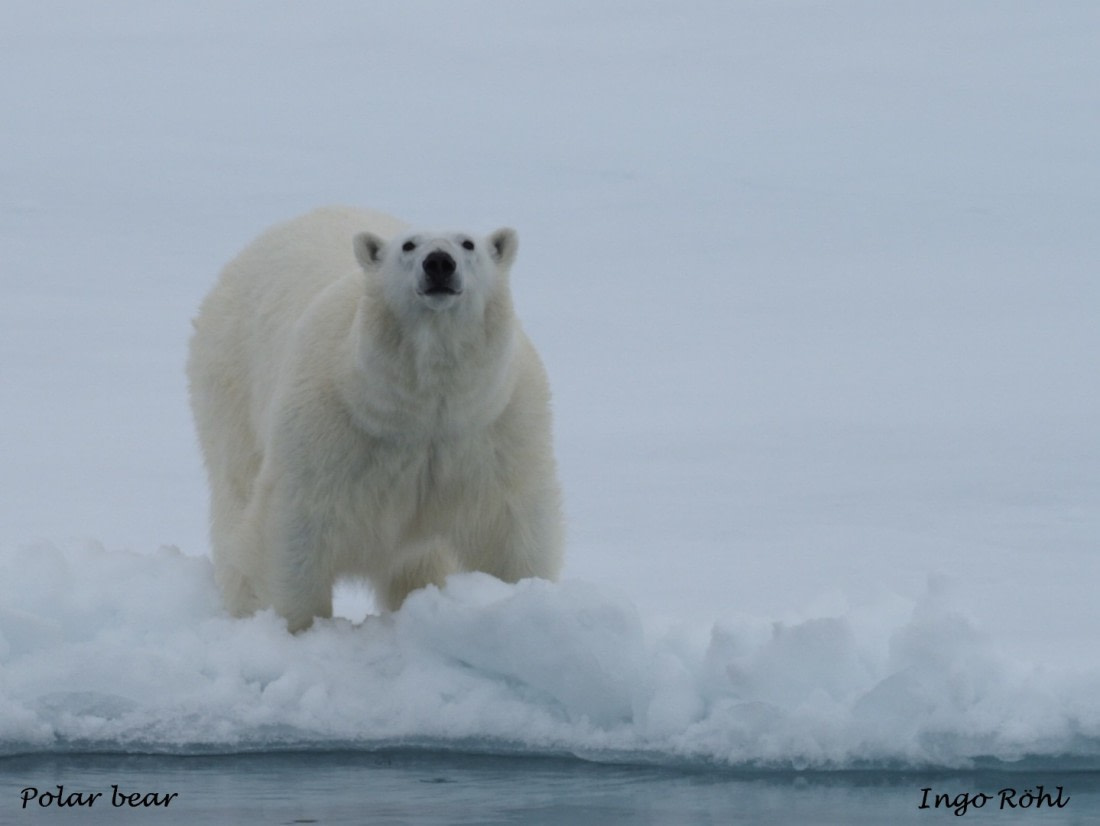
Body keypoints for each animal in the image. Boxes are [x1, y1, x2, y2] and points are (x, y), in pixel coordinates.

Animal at [187, 207, 564, 631]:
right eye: (408, 245)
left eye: (468, 243)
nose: (439, 263)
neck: (421, 408)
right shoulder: (331, 429)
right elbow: (295, 524)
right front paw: (300, 627)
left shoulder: (493, 428)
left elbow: (511, 526)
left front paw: (522, 600)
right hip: (232, 384)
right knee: (235, 495)